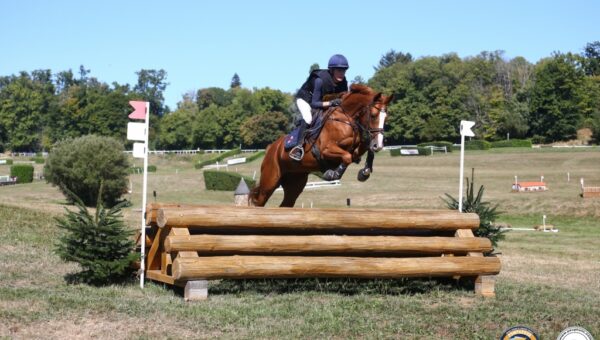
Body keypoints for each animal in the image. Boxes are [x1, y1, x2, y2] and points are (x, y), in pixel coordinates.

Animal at [248, 84, 394, 207]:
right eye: (373, 115)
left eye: (386, 117)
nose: (378, 145)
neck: (346, 118)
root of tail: (270, 148)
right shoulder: (326, 150)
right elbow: (346, 156)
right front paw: (332, 174)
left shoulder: (356, 149)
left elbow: (363, 149)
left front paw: (365, 172)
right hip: (270, 180)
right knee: (258, 201)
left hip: (295, 182)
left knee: (286, 204)